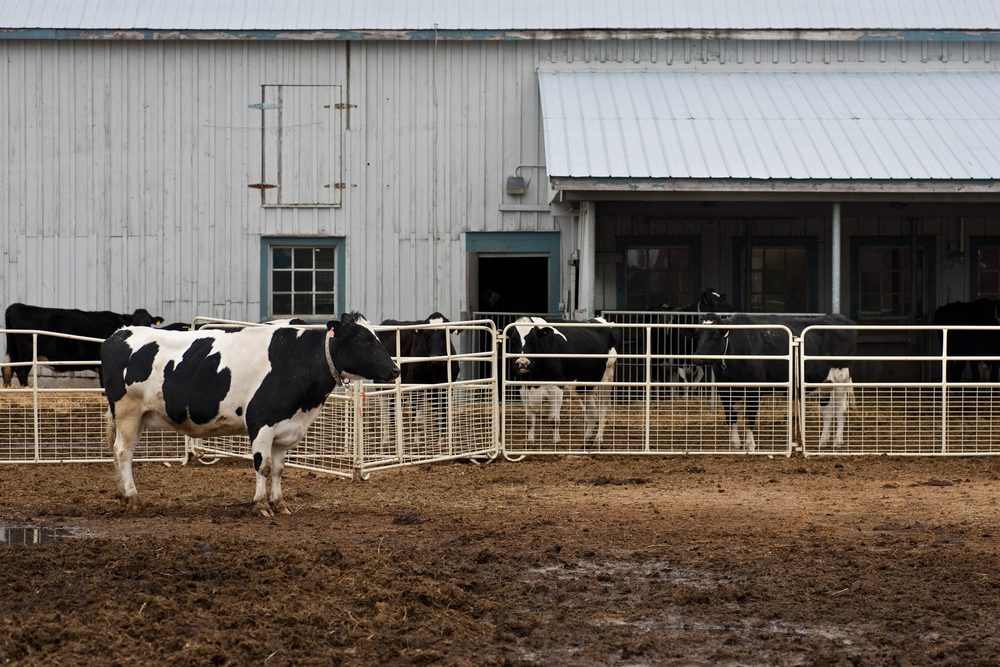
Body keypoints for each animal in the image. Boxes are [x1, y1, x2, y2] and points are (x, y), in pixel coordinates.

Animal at [2, 302, 162, 386]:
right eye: (135, 323)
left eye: (149, 323)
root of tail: (16, 306)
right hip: (27, 352)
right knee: (21, 371)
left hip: (13, 349)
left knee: (7, 369)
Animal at [101, 314, 398, 516]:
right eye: (363, 339)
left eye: (376, 337)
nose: (395, 370)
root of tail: (120, 333)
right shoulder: (261, 422)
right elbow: (262, 466)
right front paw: (261, 505)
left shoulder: (285, 429)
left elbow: (278, 468)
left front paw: (280, 504)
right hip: (128, 412)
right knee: (123, 452)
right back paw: (133, 497)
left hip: (137, 416)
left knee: (118, 451)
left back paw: (121, 493)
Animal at [376, 314, 462, 448]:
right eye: (426, 335)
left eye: (444, 334)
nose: (436, 358)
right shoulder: (416, 386)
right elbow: (417, 416)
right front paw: (417, 442)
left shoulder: (445, 387)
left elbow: (443, 411)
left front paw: (441, 441)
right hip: (381, 385)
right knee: (385, 408)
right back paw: (386, 438)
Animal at [512, 318, 620, 448]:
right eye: (514, 340)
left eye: (533, 340)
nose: (522, 363)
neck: (534, 381)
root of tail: (599, 320)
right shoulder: (523, 390)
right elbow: (529, 420)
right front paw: (530, 443)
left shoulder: (557, 389)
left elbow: (554, 420)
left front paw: (556, 443)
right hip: (584, 388)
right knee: (592, 413)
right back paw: (586, 439)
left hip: (606, 378)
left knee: (603, 409)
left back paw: (598, 439)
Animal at [696, 314, 860, 452]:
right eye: (698, 334)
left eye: (715, 334)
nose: (698, 357)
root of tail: (841, 317)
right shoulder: (724, 389)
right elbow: (731, 416)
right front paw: (736, 444)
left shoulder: (754, 389)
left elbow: (750, 416)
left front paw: (750, 445)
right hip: (825, 382)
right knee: (827, 411)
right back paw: (823, 442)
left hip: (841, 376)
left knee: (839, 410)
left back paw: (837, 441)